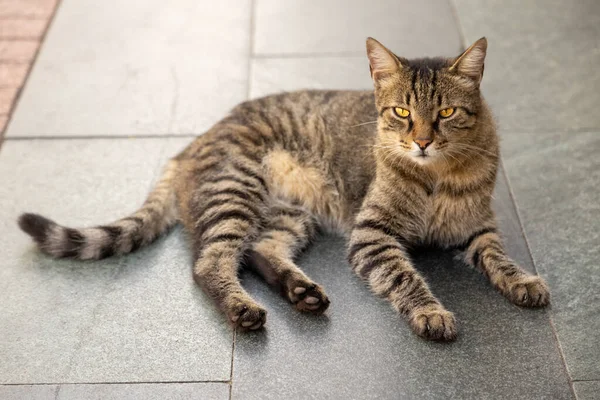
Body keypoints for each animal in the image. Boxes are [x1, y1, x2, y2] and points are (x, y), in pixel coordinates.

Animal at [18, 38, 548, 340]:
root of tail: (194, 141)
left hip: (288, 215)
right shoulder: (372, 234)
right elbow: (405, 277)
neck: (438, 174)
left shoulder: (478, 227)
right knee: (210, 263)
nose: (421, 141)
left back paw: (301, 291)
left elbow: (498, 256)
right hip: (235, 190)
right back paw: (244, 309)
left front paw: (522, 280)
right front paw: (431, 312)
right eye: (401, 112)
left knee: (259, 250)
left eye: (445, 114)